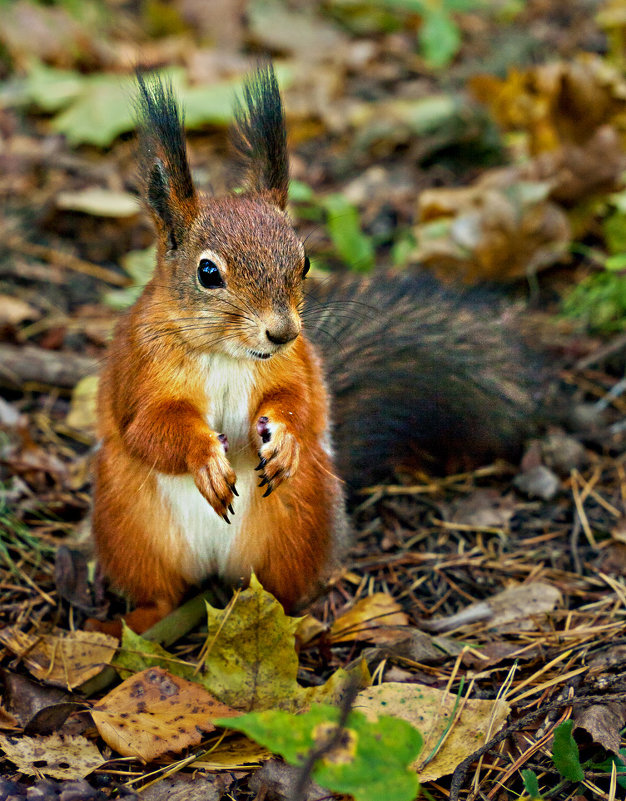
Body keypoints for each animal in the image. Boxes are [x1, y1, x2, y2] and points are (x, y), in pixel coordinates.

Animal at [90, 65, 532, 636]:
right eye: (207, 272)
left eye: (303, 260)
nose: (282, 333)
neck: (226, 355)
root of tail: (215, 571)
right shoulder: (139, 371)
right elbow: (147, 429)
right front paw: (206, 457)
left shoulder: (296, 367)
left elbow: (305, 405)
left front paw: (284, 438)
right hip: (129, 529)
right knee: (160, 591)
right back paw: (133, 626)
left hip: (301, 518)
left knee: (277, 588)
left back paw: (294, 621)